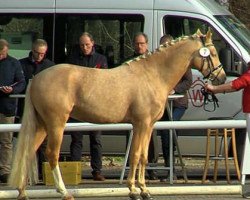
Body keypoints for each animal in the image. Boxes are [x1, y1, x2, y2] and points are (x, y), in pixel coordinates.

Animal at [9, 29, 225, 200]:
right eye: (213, 53)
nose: (222, 77)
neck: (152, 74)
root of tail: (36, 78)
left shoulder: (148, 126)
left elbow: (143, 156)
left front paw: (144, 190)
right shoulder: (141, 124)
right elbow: (136, 155)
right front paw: (134, 190)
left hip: (41, 125)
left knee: (28, 153)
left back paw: (22, 192)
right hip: (56, 124)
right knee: (51, 155)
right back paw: (64, 192)